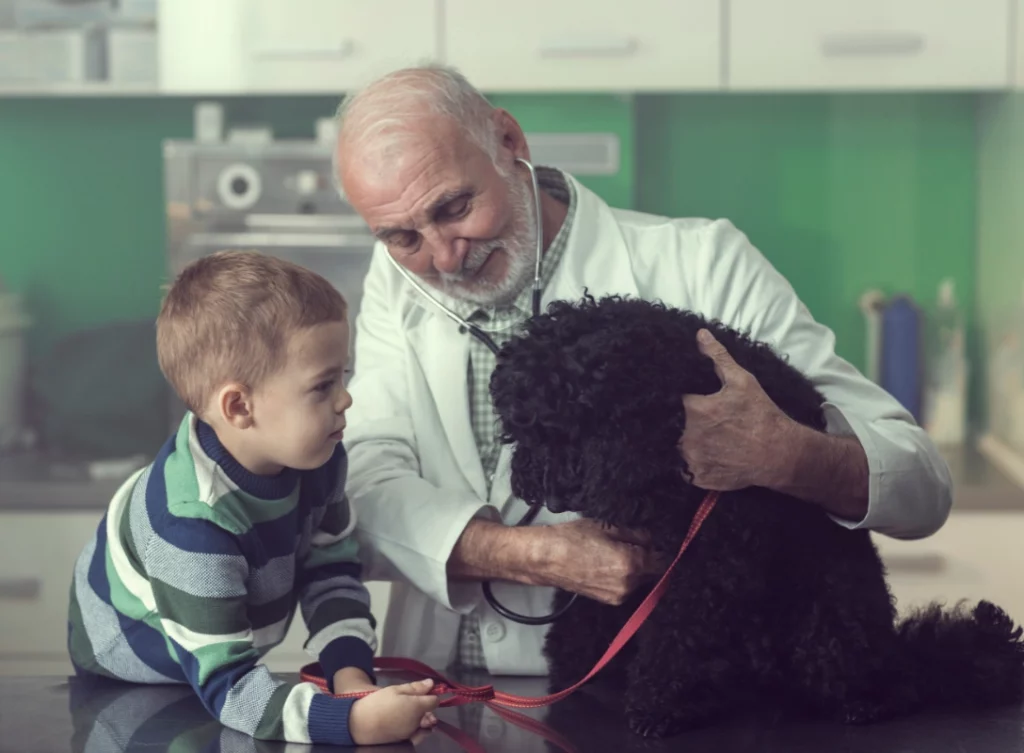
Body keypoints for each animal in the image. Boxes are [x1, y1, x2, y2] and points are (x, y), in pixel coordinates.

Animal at [489, 295, 1024, 741]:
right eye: (526, 431)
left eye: (570, 427)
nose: (551, 492)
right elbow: (593, 606)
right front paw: (573, 663)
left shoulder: (718, 552)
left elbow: (680, 634)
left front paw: (658, 705)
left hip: (826, 623)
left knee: (897, 681)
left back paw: (870, 700)